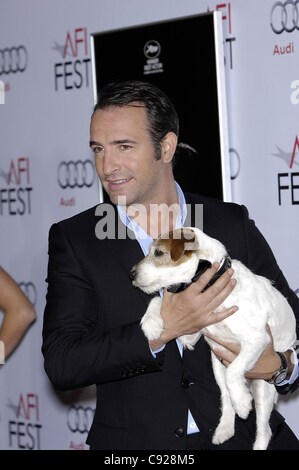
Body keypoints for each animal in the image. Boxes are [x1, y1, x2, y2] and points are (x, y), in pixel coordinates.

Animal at [131, 226, 298, 450]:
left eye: (158, 253)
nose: (131, 274)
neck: (212, 282)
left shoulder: (258, 340)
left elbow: (234, 371)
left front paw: (242, 403)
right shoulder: (190, 335)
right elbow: (158, 300)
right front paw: (151, 322)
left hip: (263, 387)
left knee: (264, 431)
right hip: (217, 366)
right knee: (225, 397)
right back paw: (224, 429)